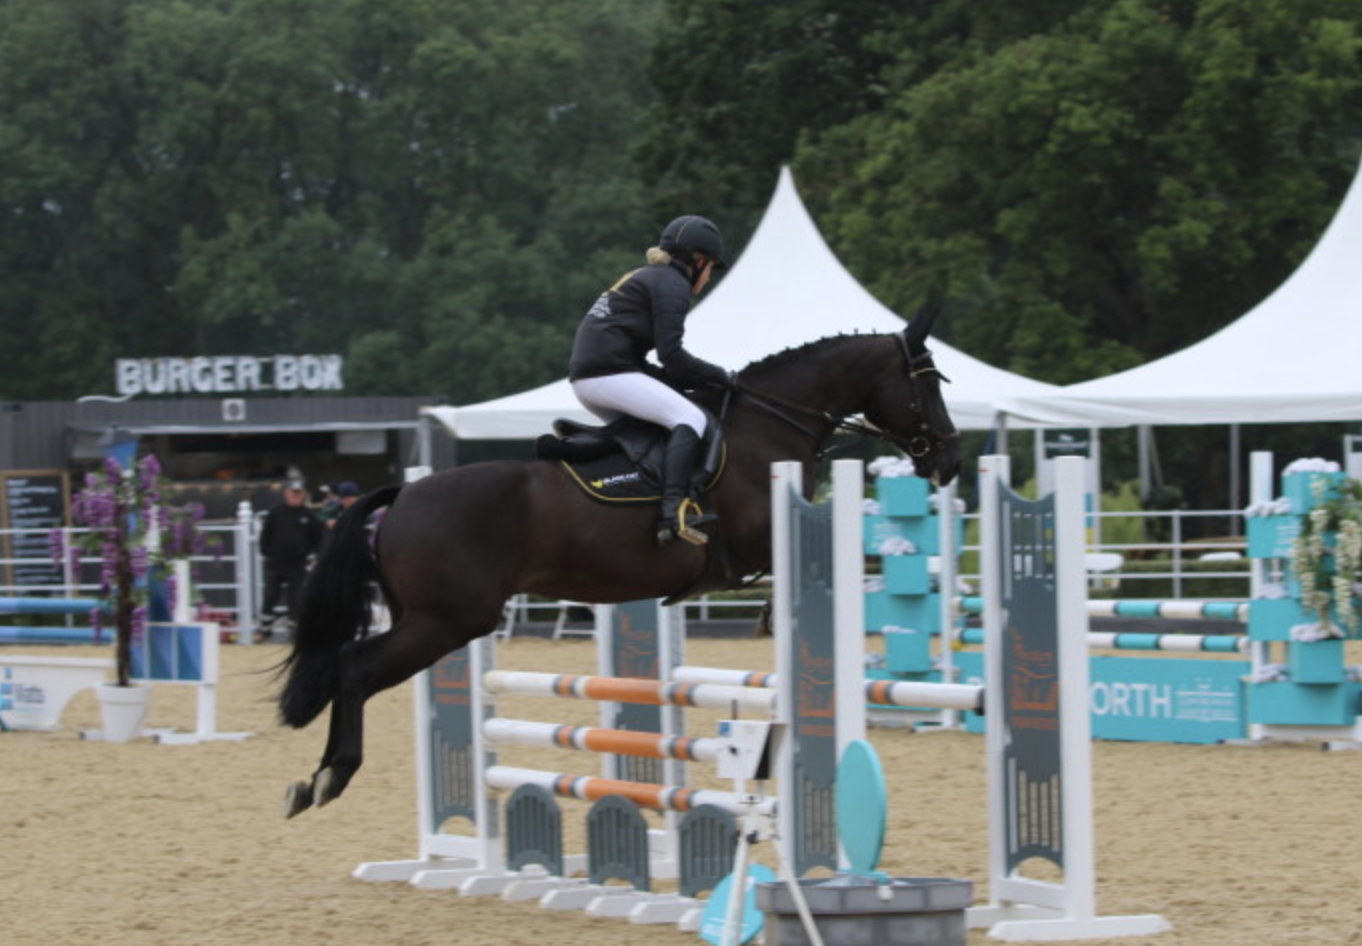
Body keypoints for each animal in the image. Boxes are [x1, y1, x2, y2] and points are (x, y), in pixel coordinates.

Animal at [277, 314, 960, 817]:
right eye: (928, 382)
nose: (950, 462)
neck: (769, 426)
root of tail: (405, 493)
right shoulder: (762, 542)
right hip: (444, 622)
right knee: (353, 668)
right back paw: (328, 777)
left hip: (426, 618)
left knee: (346, 667)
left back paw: (313, 781)